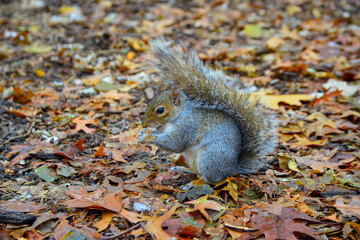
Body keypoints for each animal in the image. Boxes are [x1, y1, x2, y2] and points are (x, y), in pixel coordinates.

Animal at [136, 39, 278, 183]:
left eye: (160, 110)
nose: (144, 124)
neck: (178, 116)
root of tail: (232, 169)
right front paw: (145, 132)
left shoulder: (187, 127)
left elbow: (175, 144)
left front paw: (148, 137)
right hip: (194, 159)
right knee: (198, 171)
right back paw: (185, 169)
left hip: (209, 158)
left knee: (210, 179)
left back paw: (193, 184)